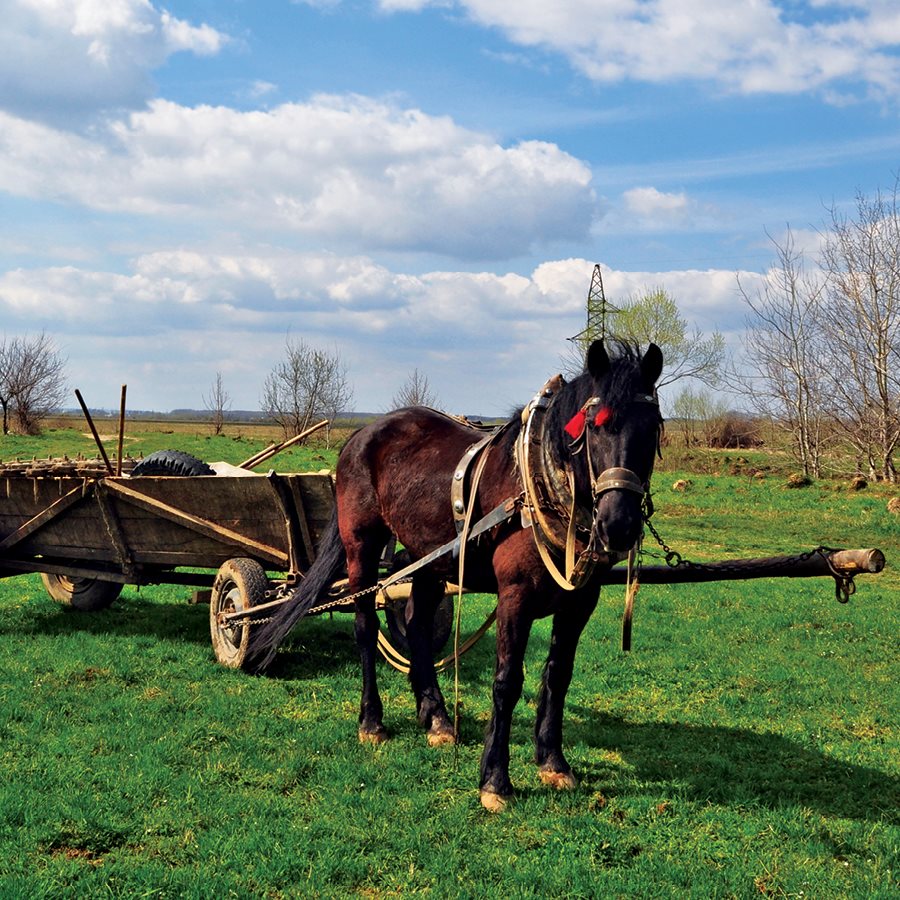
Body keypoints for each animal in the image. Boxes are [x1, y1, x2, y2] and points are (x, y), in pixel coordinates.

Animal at [246, 342, 660, 812]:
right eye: (595, 426)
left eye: (653, 428)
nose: (619, 526)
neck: (538, 484)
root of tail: (361, 434)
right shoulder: (515, 595)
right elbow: (507, 681)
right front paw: (495, 779)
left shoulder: (579, 601)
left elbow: (558, 676)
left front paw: (553, 762)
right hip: (361, 546)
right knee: (366, 627)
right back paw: (371, 720)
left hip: (428, 559)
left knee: (417, 626)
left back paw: (437, 717)